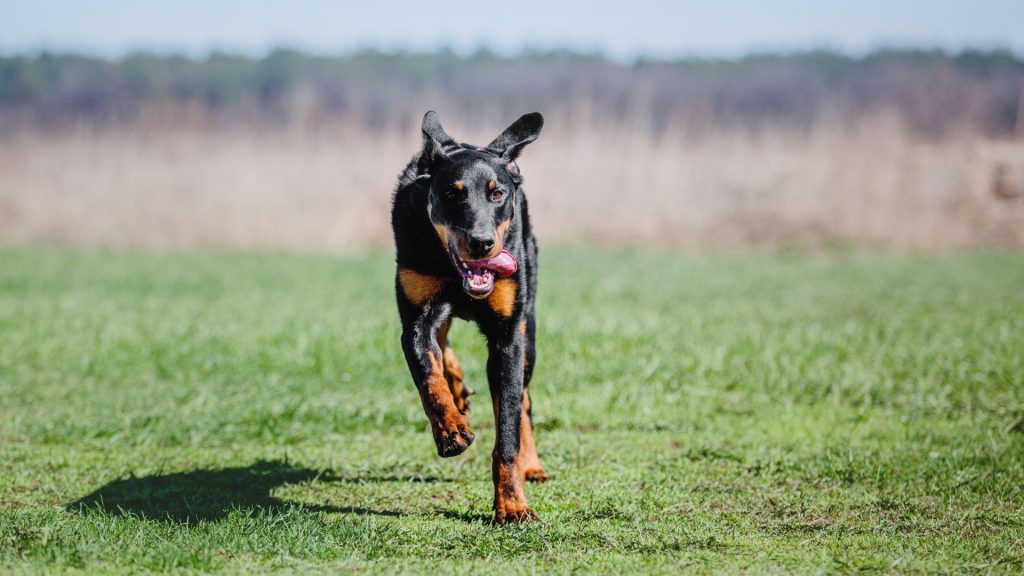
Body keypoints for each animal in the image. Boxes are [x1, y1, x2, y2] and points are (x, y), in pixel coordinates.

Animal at [389, 109, 544, 522]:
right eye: (451, 193)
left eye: (497, 193)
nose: (481, 242)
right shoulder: (415, 320)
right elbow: (429, 376)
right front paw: (450, 430)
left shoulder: (508, 336)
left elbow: (508, 428)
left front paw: (512, 504)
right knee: (442, 344)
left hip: (529, 331)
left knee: (524, 400)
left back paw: (532, 463)